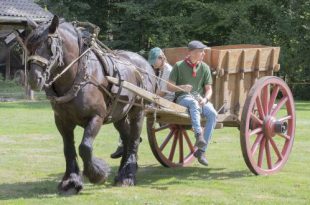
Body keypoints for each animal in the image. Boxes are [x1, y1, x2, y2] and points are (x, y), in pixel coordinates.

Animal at [24, 15, 155, 194]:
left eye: (49, 46)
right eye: (29, 46)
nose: (33, 79)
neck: (79, 77)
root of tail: (144, 64)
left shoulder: (96, 117)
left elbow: (85, 147)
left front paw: (98, 174)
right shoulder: (62, 121)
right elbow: (68, 149)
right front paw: (71, 181)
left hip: (138, 111)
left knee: (134, 140)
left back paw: (128, 176)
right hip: (119, 115)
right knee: (127, 138)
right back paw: (121, 173)